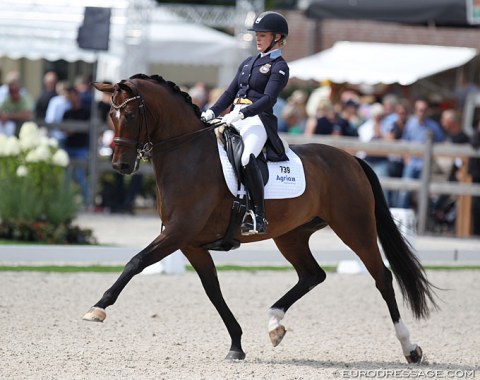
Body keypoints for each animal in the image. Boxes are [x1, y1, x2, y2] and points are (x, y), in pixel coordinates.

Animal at [84, 74, 436, 362]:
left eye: (130, 115)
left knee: (382, 278)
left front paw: (98, 308)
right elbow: (213, 290)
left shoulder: (178, 232)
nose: (120, 165)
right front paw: (236, 345)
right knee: (312, 275)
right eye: (110, 115)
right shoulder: (190, 242)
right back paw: (274, 324)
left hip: (355, 228)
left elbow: (136, 262)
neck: (187, 153)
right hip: (291, 235)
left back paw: (410, 349)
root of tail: (351, 159)